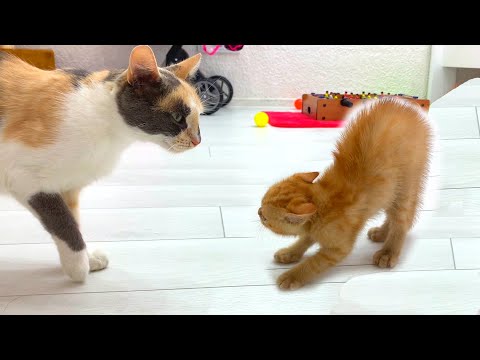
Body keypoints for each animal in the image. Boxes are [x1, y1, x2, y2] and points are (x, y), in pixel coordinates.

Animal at [0, 44, 203, 282]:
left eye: (199, 116)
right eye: (177, 117)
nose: (198, 141)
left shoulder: (68, 186)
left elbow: (73, 221)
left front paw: (87, 259)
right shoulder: (25, 179)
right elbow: (63, 222)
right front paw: (78, 267)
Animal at [258, 97, 432, 292]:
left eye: (265, 218)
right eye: (261, 204)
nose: (258, 211)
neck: (324, 200)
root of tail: (407, 109)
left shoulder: (338, 248)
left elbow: (314, 263)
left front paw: (292, 276)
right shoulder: (313, 230)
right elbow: (304, 239)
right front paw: (290, 253)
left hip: (406, 184)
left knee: (402, 221)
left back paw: (388, 252)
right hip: (389, 191)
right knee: (391, 213)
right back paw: (381, 233)